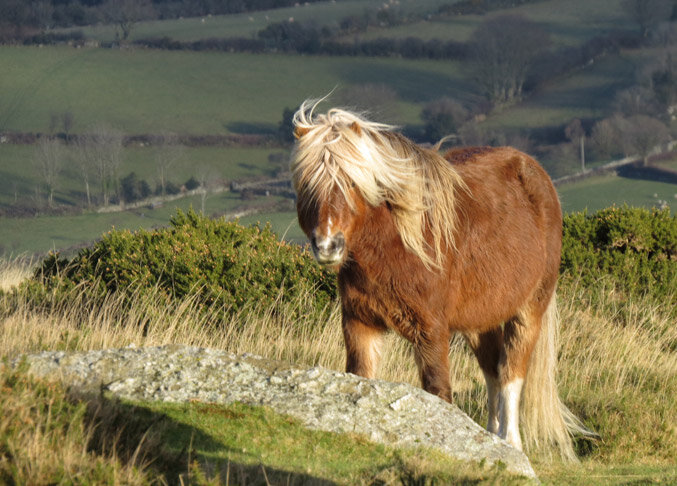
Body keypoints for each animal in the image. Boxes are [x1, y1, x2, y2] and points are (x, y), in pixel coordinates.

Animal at [288, 98, 588, 460]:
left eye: (351, 182)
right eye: (307, 184)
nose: (327, 245)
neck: (396, 244)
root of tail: (535, 172)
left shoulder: (430, 332)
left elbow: (439, 391)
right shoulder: (360, 324)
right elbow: (360, 377)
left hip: (529, 310)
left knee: (511, 374)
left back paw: (511, 444)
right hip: (480, 321)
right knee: (492, 373)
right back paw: (490, 440)